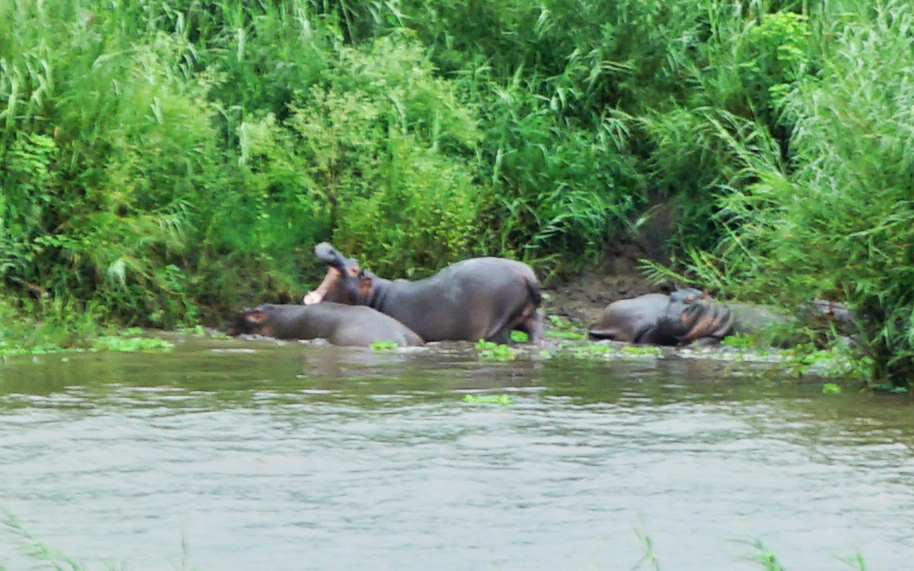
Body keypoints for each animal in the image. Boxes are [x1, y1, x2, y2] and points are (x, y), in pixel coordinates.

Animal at [302, 241, 540, 344]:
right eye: (354, 259)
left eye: (355, 269)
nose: (328, 246)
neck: (374, 294)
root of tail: (526, 273)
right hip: (529, 315)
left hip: (498, 323)